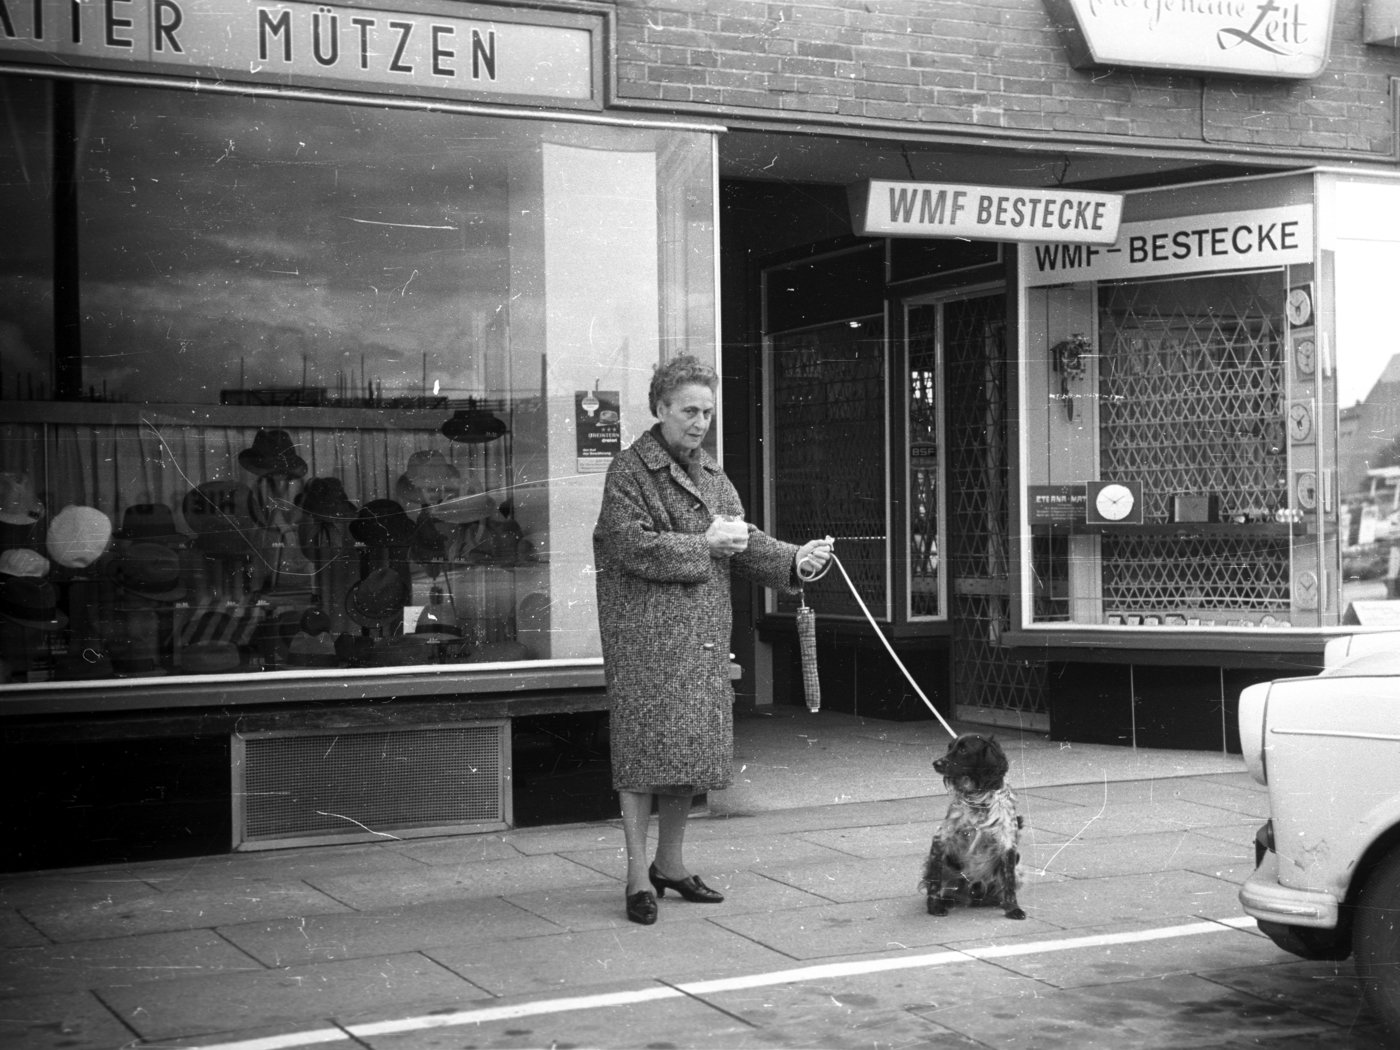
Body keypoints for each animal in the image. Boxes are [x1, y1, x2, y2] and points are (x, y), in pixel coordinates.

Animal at [918, 733, 1030, 918]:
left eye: (963, 750)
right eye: (950, 747)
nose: (936, 763)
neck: (979, 800)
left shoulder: (1008, 843)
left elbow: (1009, 882)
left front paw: (1012, 908)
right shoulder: (941, 839)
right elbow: (934, 882)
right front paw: (934, 907)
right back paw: (947, 901)